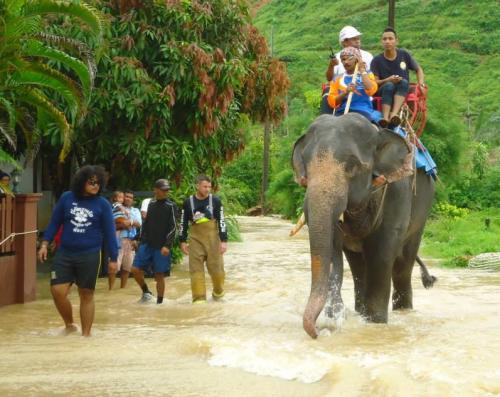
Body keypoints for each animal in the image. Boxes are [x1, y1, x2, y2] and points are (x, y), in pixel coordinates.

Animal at [292, 113, 436, 338]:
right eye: (306, 166)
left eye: (351, 167)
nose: (318, 332)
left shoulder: (397, 192)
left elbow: (381, 254)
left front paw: (376, 323)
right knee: (358, 266)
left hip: (423, 210)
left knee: (402, 266)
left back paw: (403, 311)